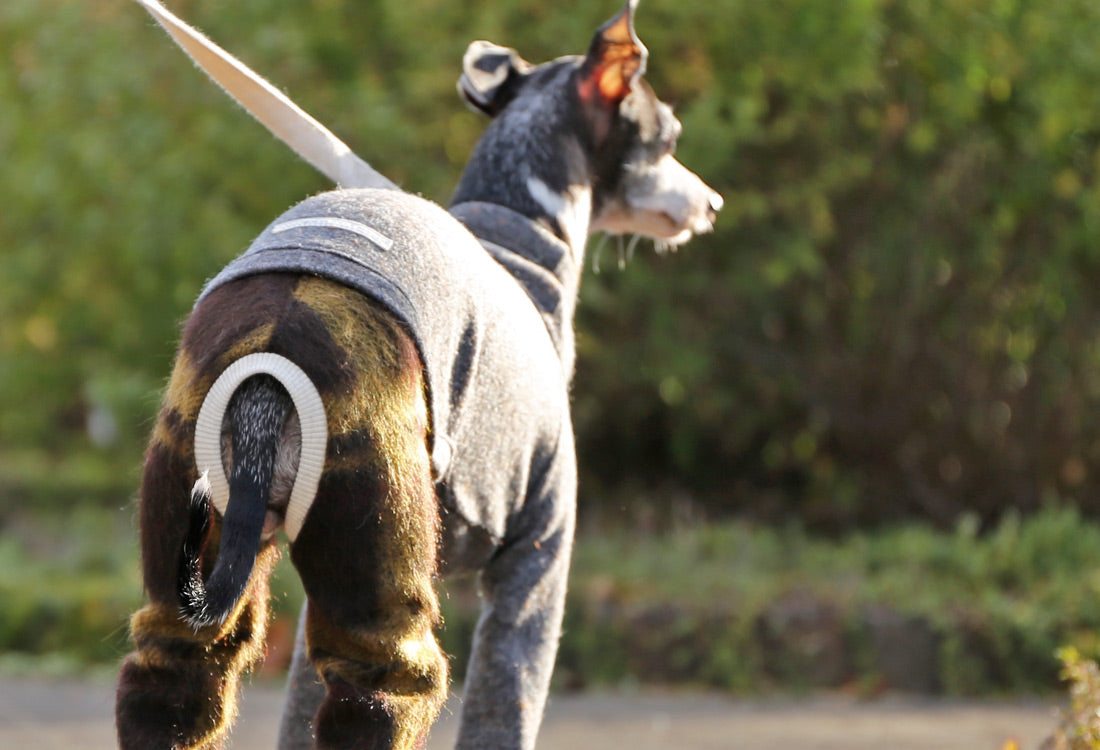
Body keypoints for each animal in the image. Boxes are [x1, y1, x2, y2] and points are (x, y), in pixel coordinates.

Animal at [118, 2, 721, 743]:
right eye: (668, 134)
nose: (713, 202)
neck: (519, 236)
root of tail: (273, 359)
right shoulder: (538, 559)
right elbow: (505, 708)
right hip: (382, 567)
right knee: (384, 695)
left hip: (203, 550)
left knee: (172, 677)